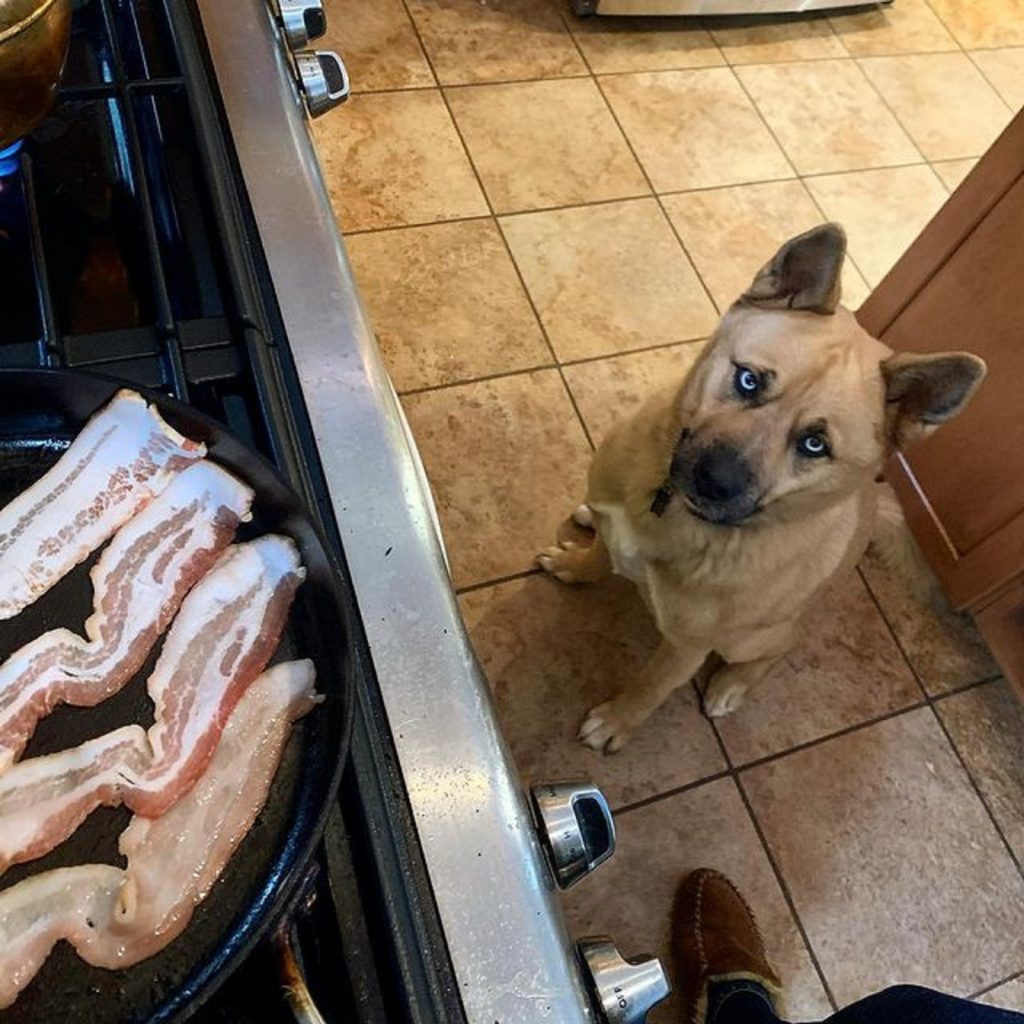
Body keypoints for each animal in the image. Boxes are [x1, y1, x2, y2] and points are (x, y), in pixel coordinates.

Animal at [544, 224, 983, 753]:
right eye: (749, 380)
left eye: (814, 444)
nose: (714, 482)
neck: (671, 517)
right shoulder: (617, 530)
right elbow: (599, 555)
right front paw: (578, 564)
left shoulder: (686, 647)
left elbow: (651, 686)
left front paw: (618, 721)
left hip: (750, 638)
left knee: (784, 644)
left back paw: (733, 684)